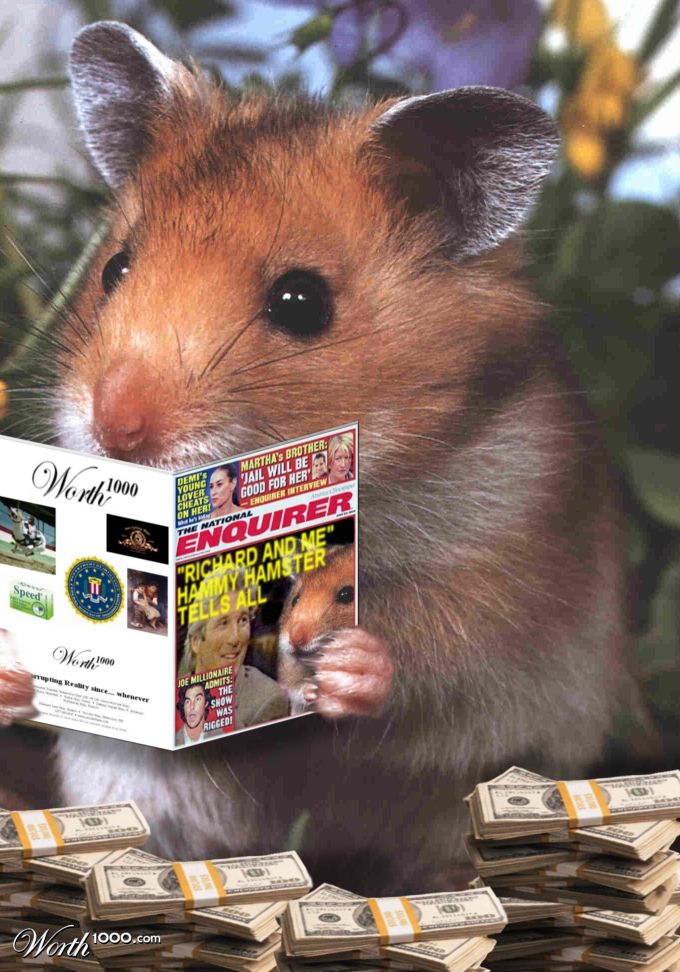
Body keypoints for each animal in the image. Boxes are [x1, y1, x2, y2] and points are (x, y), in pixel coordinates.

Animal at [278, 545, 357, 714]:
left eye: (346, 594)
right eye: (295, 600)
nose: (294, 639)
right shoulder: (288, 669)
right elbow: (296, 686)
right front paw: (313, 691)